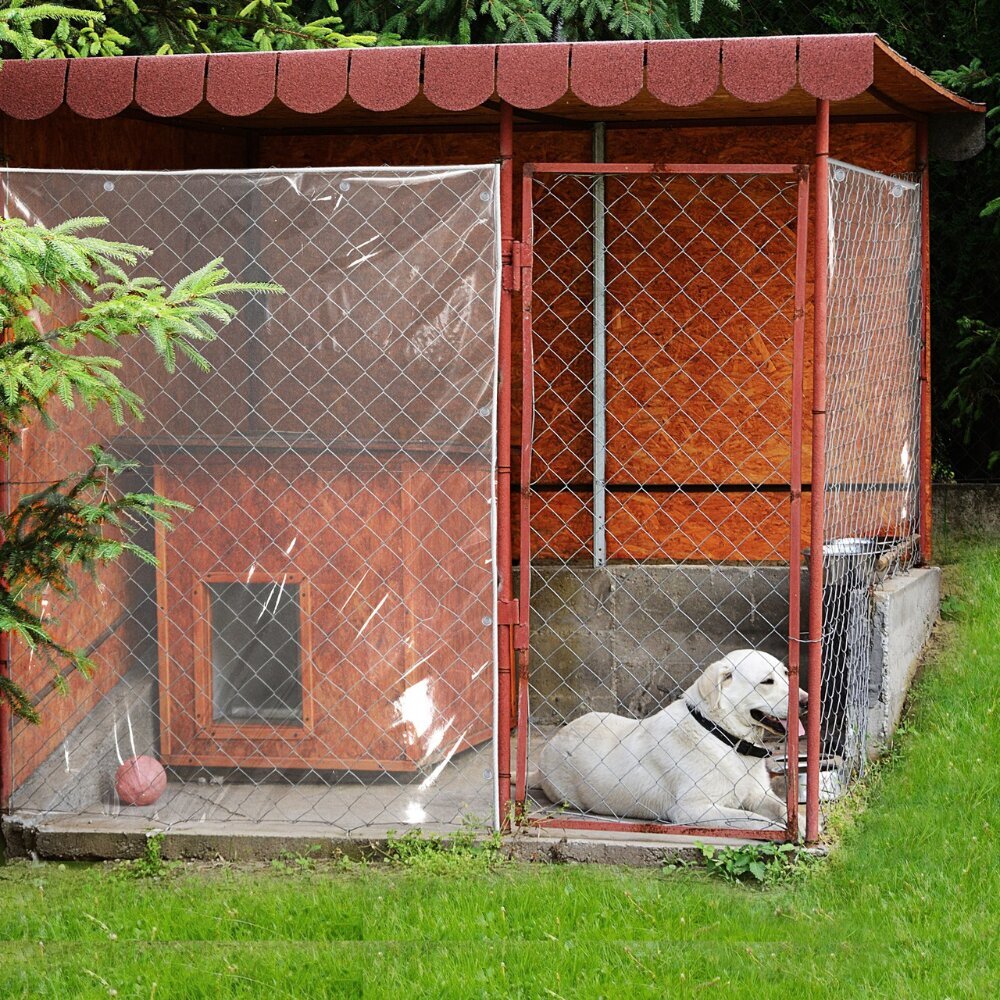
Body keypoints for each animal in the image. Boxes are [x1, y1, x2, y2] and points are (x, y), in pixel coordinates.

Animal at [532, 648, 804, 828]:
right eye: (767, 681)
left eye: (785, 673)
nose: (806, 700)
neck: (721, 735)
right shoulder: (693, 809)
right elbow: (755, 819)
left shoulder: (758, 795)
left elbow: (783, 808)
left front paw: (800, 825)